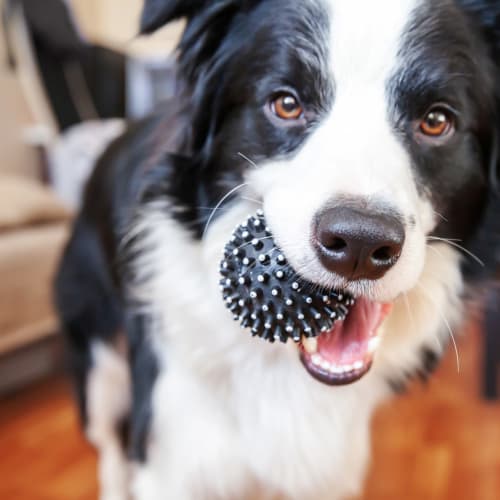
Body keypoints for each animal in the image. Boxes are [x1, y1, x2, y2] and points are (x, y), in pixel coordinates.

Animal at [54, 0, 500, 500]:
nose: (360, 243)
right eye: (287, 104)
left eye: (437, 121)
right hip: (96, 358)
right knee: (109, 441)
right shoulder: (174, 454)